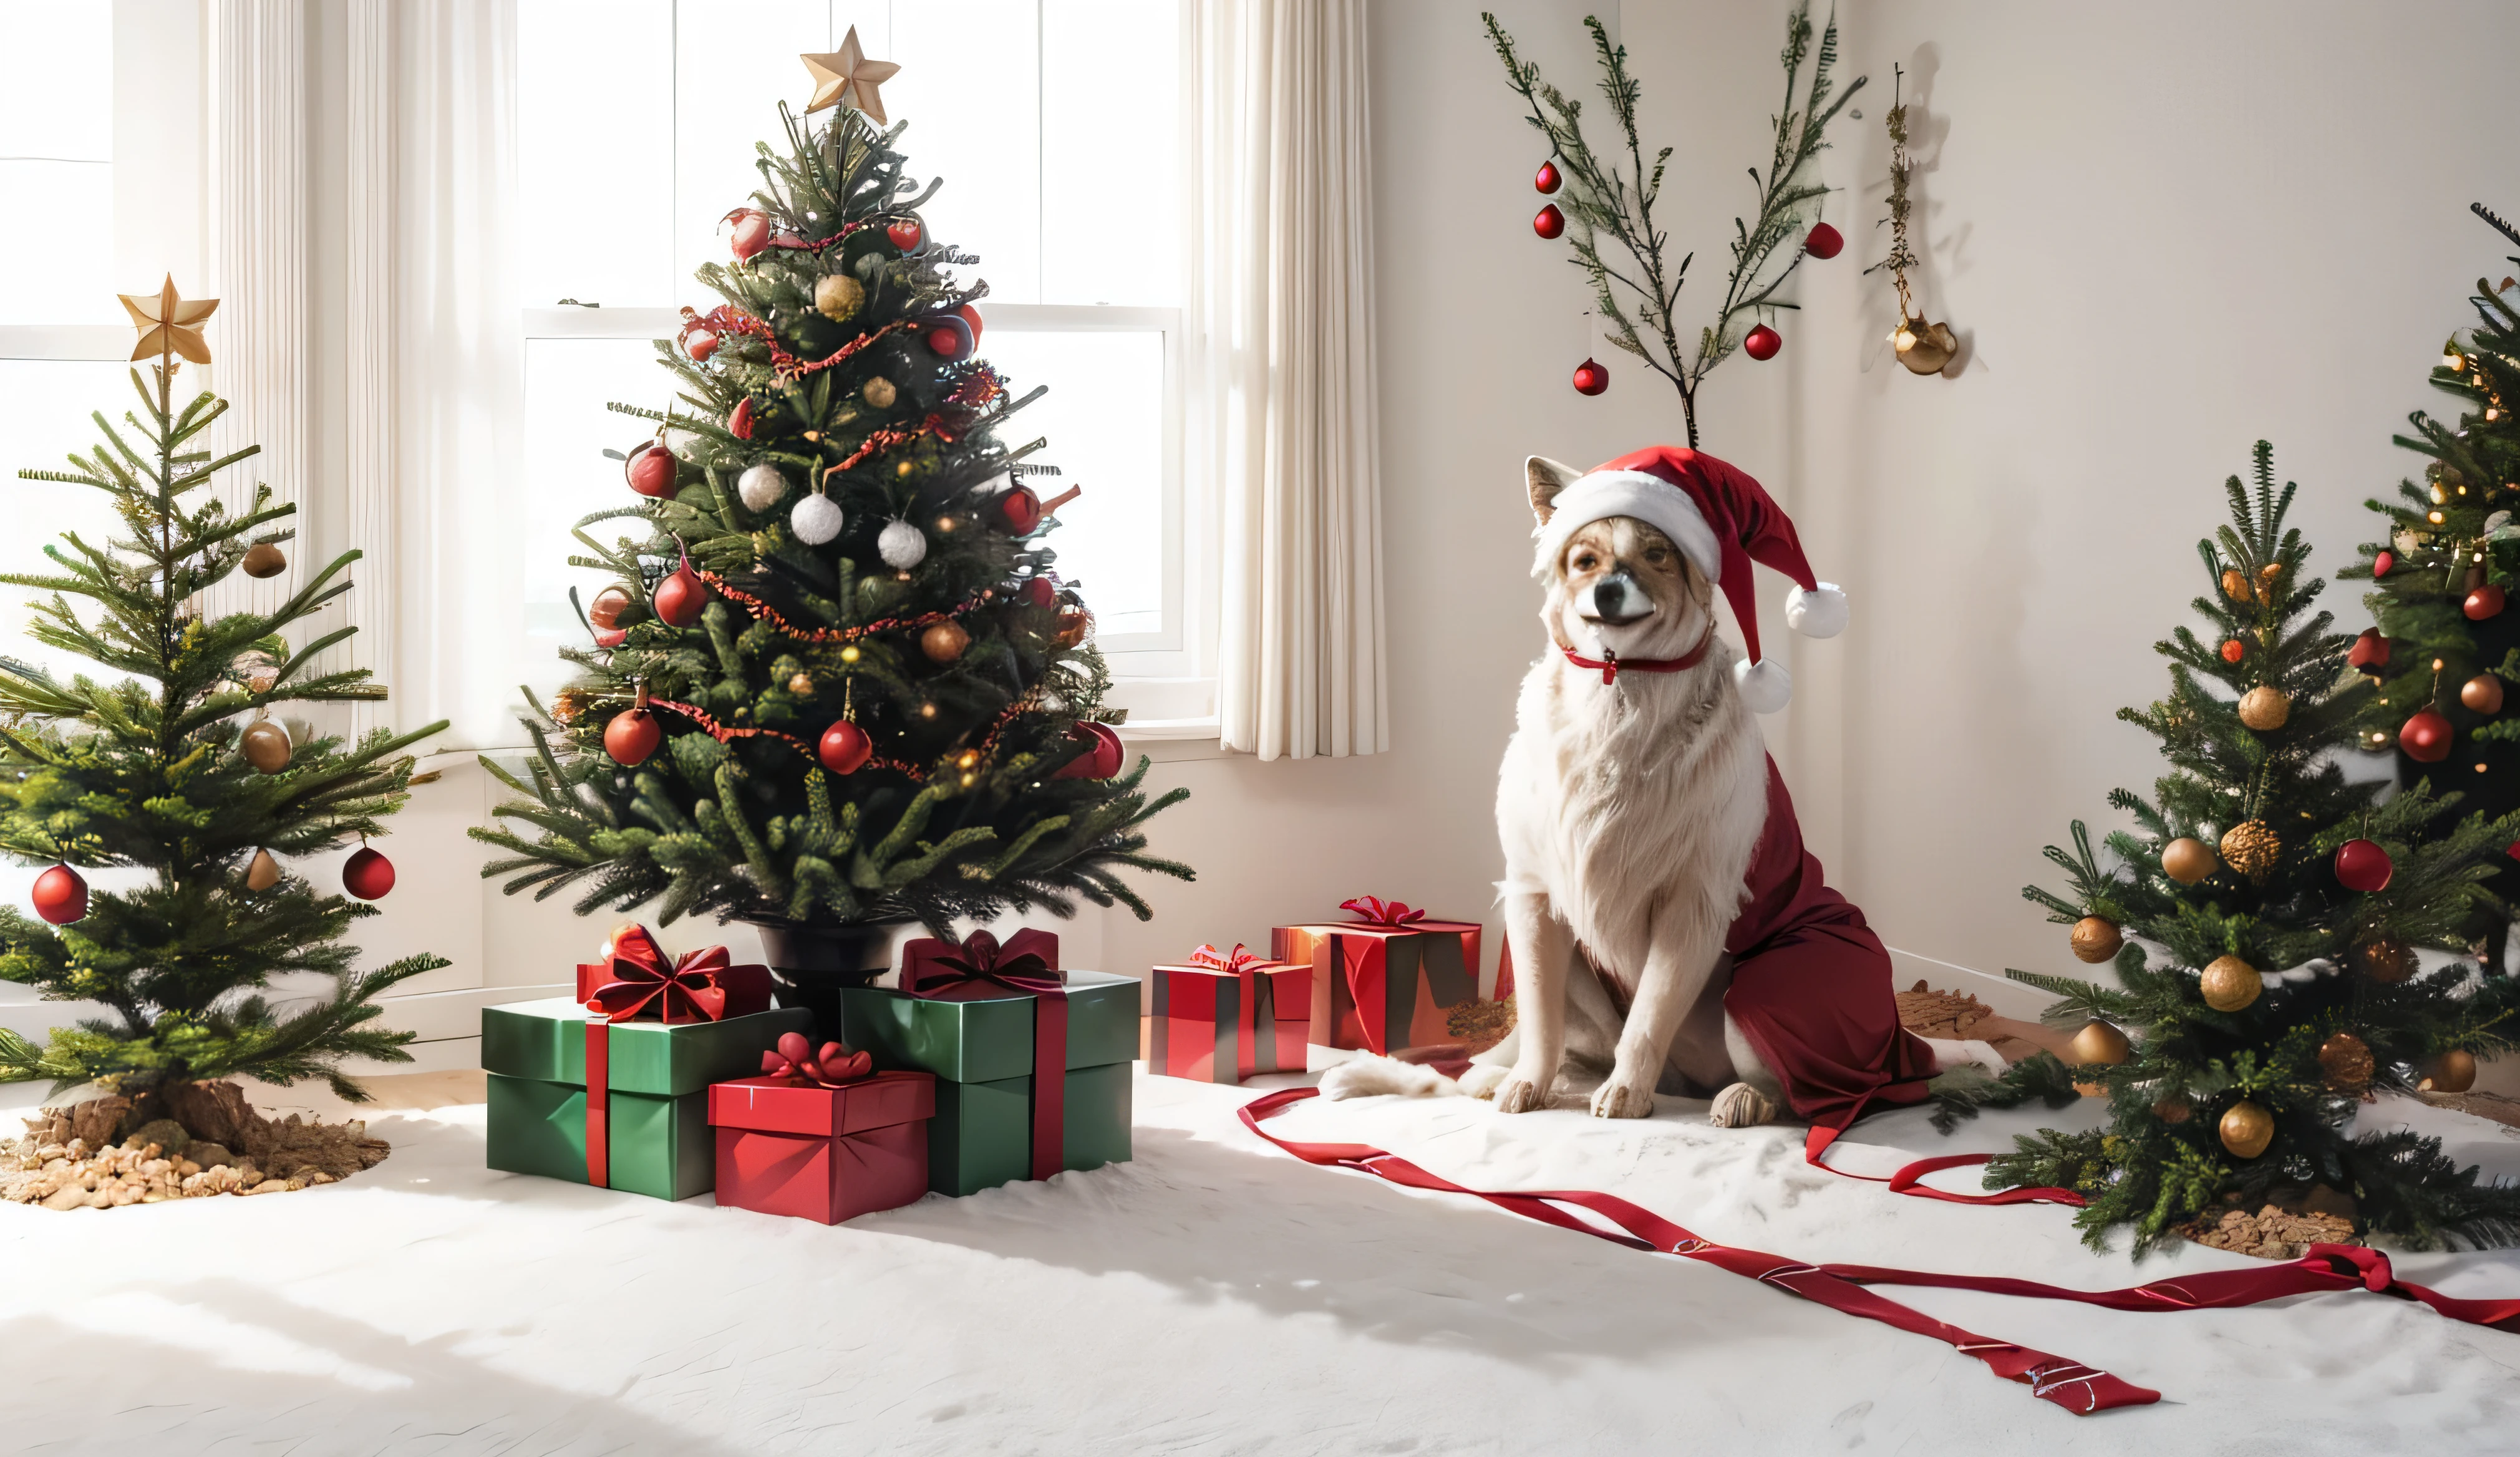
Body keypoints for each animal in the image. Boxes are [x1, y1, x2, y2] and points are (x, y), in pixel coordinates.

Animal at [1330, 448, 1995, 1129]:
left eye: (1656, 553)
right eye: (1585, 559)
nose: (1606, 590)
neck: (1620, 688)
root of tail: (1899, 1042)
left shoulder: (1692, 901)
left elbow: (1649, 1016)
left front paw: (1626, 1091)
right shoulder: (1535, 897)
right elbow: (1540, 1018)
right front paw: (1524, 1083)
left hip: (1772, 984)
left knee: (1803, 1091)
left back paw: (1743, 1097)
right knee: (1566, 1044)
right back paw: (1499, 1077)